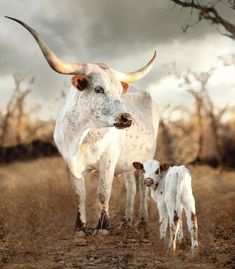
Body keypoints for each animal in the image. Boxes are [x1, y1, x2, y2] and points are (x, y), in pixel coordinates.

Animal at [5, 16, 160, 234]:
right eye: (98, 89)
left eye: (119, 91)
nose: (127, 118)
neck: (84, 135)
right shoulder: (71, 161)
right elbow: (80, 193)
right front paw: (80, 226)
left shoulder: (108, 160)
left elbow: (103, 192)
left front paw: (102, 226)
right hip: (128, 161)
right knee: (131, 187)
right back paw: (126, 220)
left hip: (146, 157)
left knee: (144, 187)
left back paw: (142, 220)